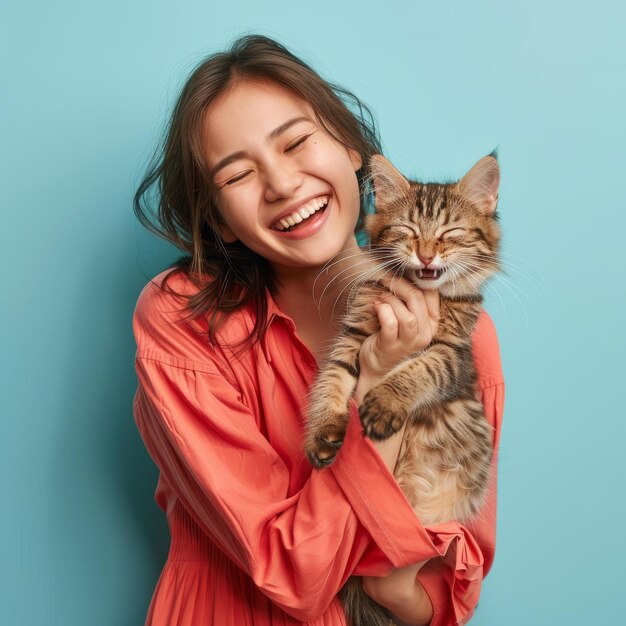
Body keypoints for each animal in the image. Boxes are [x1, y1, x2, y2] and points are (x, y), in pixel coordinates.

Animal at [300, 152, 500, 624]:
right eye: (408, 231)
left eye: (449, 235)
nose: (425, 255)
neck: (428, 296)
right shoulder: (353, 336)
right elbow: (330, 383)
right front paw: (324, 433)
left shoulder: (451, 356)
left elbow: (417, 371)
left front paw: (383, 405)